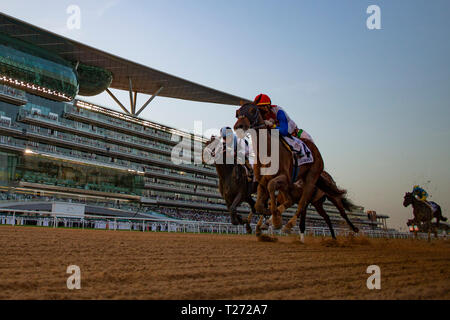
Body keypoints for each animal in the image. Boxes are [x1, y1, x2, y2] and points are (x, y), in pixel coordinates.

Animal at [234, 104, 346, 241]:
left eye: (252, 110)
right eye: (238, 112)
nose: (238, 126)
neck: (267, 151)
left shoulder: (285, 178)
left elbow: (271, 188)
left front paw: (275, 221)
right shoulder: (263, 180)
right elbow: (259, 205)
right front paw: (263, 222)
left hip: (311, 178)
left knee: (302, 202)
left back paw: (288, 225)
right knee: (291, 201)